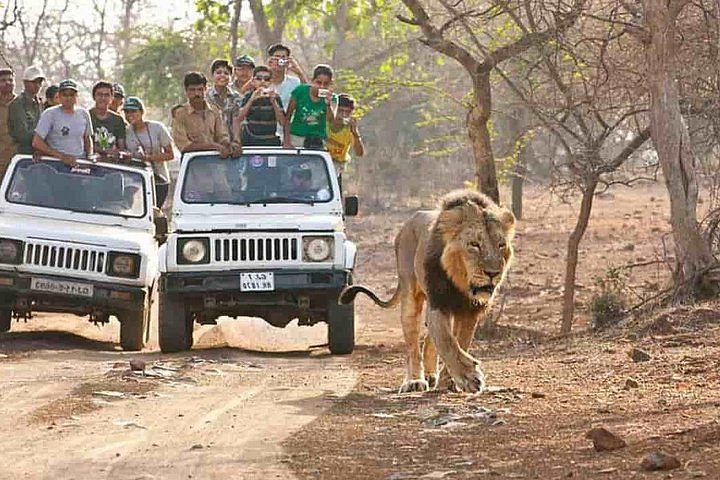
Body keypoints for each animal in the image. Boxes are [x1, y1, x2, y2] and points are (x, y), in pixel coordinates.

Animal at [340, 189, 516, 392]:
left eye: (501, 245)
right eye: (474, 244)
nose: (493, 273)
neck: (460, 283)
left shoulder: (470, 310)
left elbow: (460, 342)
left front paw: (451, 380)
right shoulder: (438, 302)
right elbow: (447, 342)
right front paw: (469, 377)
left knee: (429, 342)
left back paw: (432, 376)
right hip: (410, 295)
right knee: (413, 345)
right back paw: (415, 381)